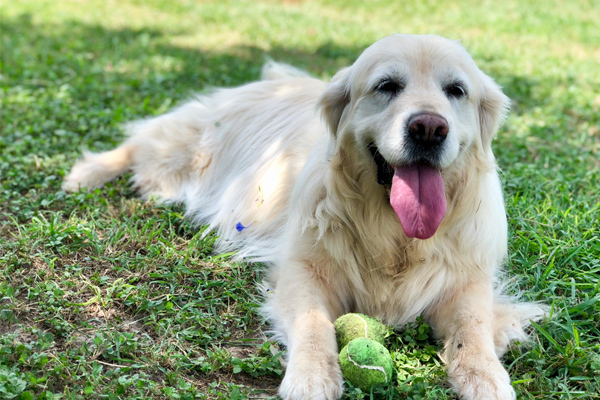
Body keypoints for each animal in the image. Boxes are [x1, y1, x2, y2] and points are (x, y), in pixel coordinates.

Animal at [63, 35, 548, 400]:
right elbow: (314, 322)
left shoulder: (467, 280)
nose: (429, 128)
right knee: (139, 144)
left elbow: (474, 327)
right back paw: (85, 174)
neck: (394, 233)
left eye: (456, 90)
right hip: (184, 151)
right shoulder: (303, 269)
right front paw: (313, 376)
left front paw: (487, 378)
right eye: (387, 85)